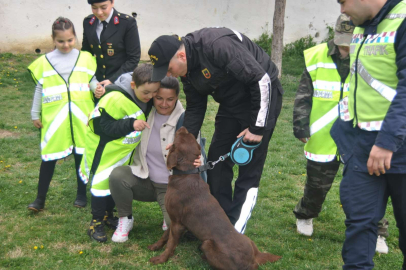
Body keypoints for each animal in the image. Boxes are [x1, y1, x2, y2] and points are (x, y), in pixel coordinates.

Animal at [149, 127, 282, 268]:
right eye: (188, 135)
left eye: (180, 136)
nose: (183, 127)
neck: (186, 174)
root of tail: (254, 259)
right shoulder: (174, 219)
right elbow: (165, 235)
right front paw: (155, 246)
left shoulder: (178, 223)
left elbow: (170, 243)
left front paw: (160, 259)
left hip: (207, 244)